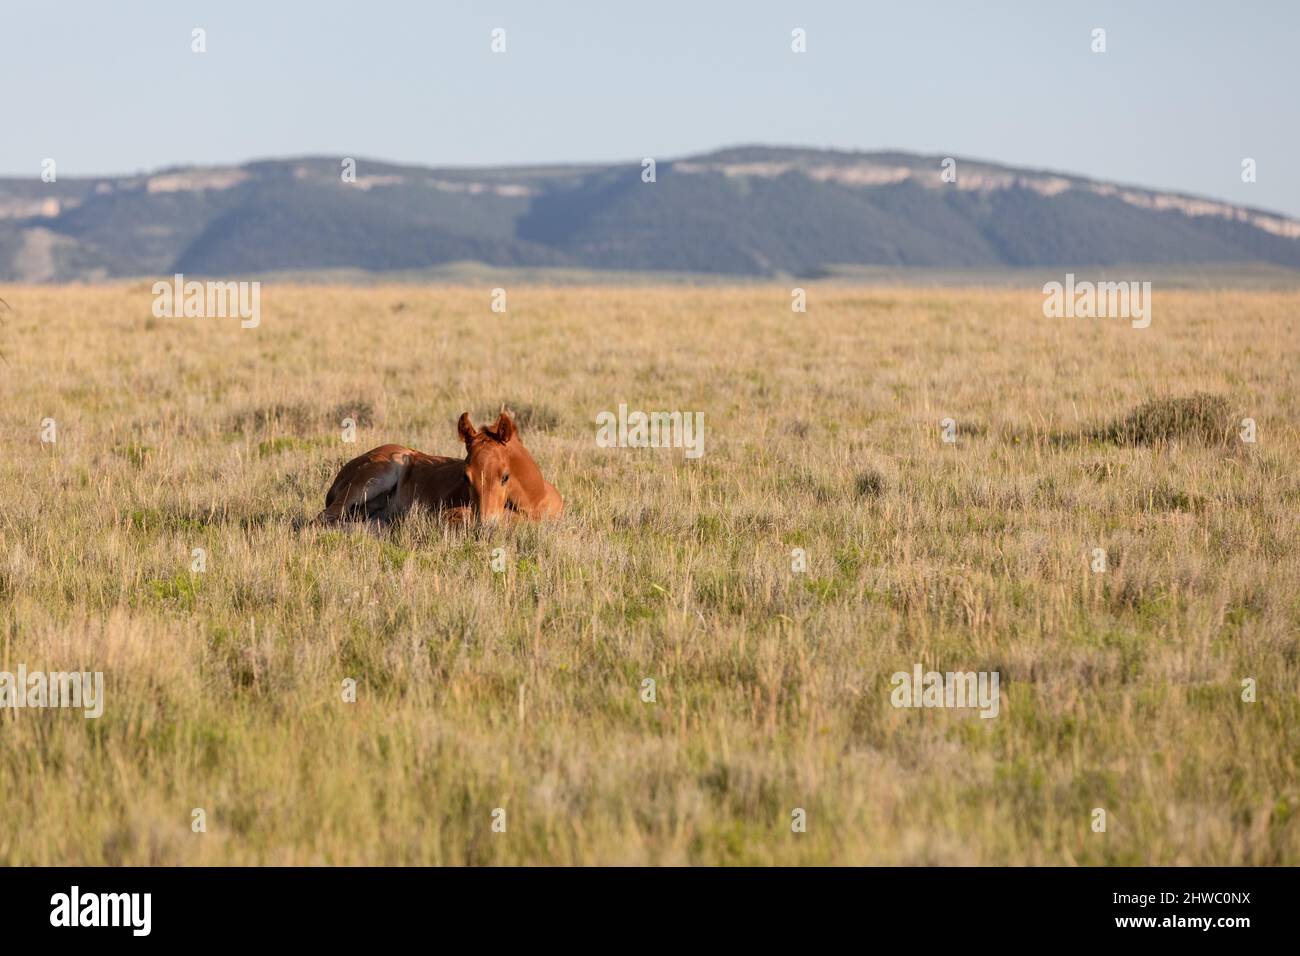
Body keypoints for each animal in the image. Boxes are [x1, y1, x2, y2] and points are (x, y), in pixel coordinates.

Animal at [317, 411, 561, 528]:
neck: (537, 500)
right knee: (326, 516)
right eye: (465, 477)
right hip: (374, 478)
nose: (486, 524)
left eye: (505, 476)